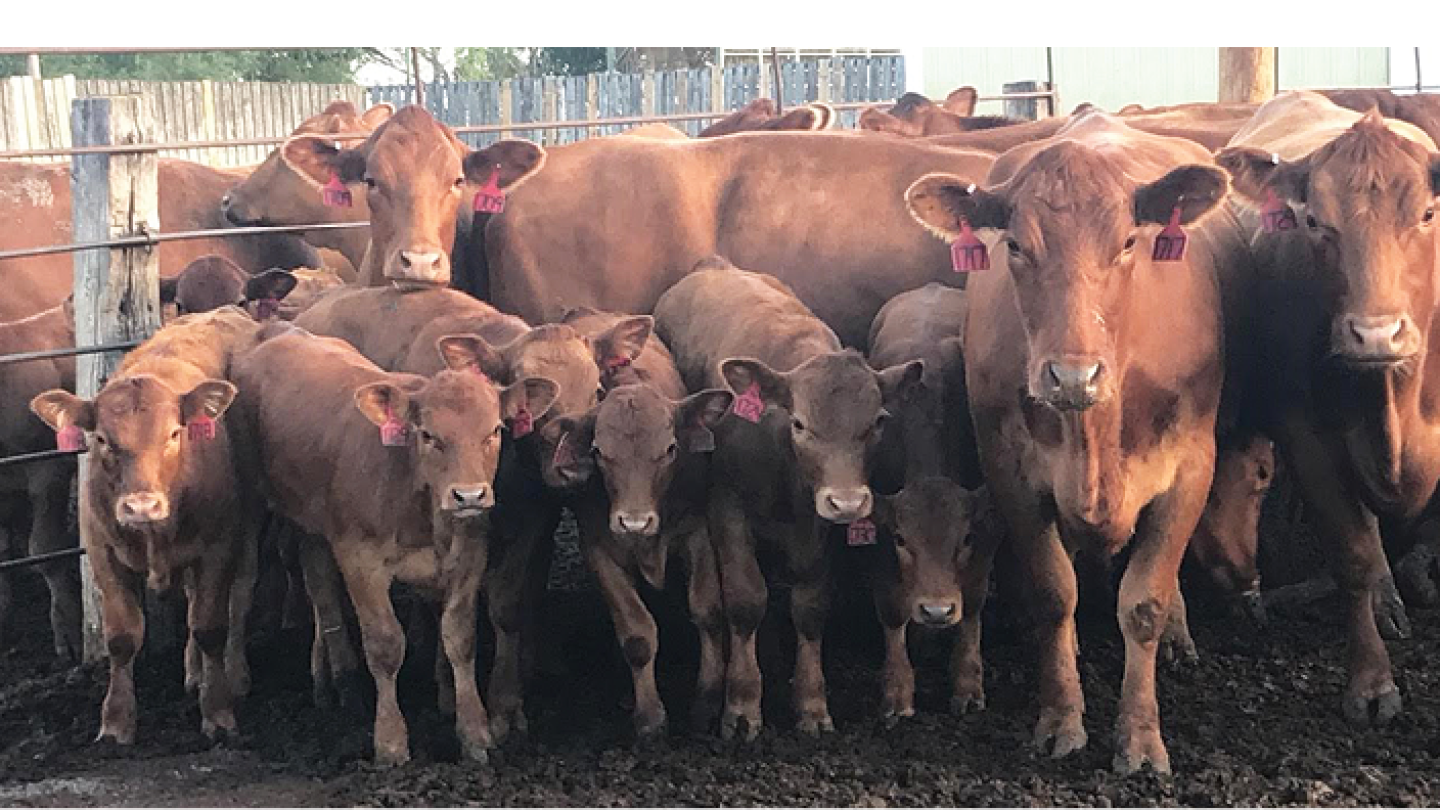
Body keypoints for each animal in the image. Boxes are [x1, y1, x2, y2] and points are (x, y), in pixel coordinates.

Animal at [28, 308, 265, 744]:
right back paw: (193, 672)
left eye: (174, 433)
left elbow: (210, 626)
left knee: (240, 594)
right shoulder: (102, 550)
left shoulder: (217, 546)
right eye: (102, 439)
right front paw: (116, 722)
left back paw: (235, 674)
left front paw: (218, 711)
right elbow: (122, 638)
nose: (141, 505)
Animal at [231, 323, 558, 765]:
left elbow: (461, 638)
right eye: (428, 435)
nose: (469, 496)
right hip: (262, 508)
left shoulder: (468, 556)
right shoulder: (360, 560)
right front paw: (390, 741)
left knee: (321, 589)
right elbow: (386, 645)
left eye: (494, 430)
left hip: (313, 527)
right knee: (269, 589)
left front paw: (475, 731)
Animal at [654, 256, 923, 739]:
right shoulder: (727, 509)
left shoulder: (817, 526)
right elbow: (745, 600)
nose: (848, 502)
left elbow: (810, 608)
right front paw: (742, 706)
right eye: (800, 423)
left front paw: (812, 705)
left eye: (877, 421)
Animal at [904, 110, 1248, 773]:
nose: (1072, 375)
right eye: (1015, 245)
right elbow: (1052, 592)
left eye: (1129, 242)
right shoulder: (1009, 471)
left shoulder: (1193, 465)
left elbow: (1145, 601)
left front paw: (1140, 737)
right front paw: (1061, 720)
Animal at [1215, 90, 1440, 729]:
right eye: (1315, 221)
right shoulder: (1307, 437)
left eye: (1427, 215)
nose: (1375, 334)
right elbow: (1354, 555)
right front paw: (1371, 683)